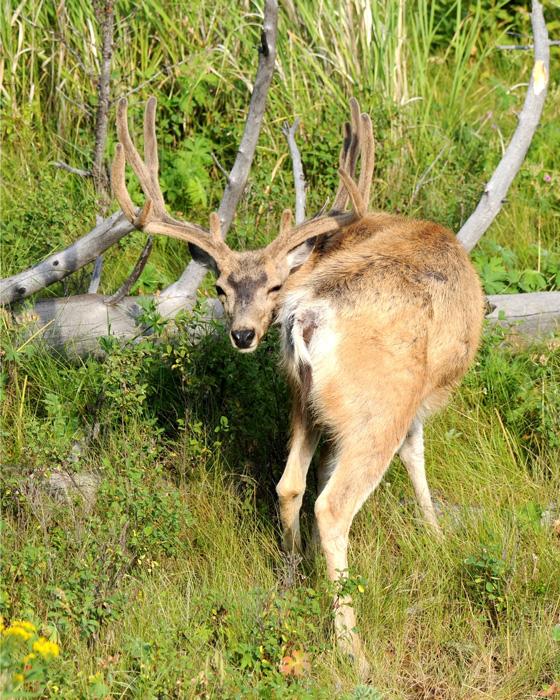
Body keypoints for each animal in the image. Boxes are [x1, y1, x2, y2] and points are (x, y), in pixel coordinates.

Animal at [112, 96, 484, 676]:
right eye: (219, 288)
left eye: (272, 286)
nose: (243, 333)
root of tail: (310, 313)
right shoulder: (420, 396)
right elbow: (417, 455)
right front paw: (437, 536)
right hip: (381, 404)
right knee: (332, 504)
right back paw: (353, 651)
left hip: (302, 395)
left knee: (289, 485)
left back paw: (291, 578)